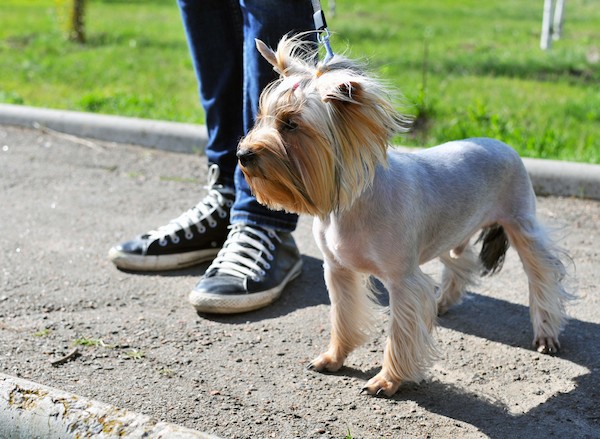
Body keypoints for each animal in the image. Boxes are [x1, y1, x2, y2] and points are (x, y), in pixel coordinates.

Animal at [237, 36, 568, 398]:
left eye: (291, 124)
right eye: (261, 118)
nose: (242, 154)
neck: (352, 203)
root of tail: (503, 144)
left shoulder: (402, 280)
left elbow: (400, 331)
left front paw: (388, 380)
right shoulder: (338, 270)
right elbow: (343, 315)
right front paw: (333, 357)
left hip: (520, 220)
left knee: (542, 275)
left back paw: (546, 333)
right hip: (449, 229)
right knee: (460, 260)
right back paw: (441, 302)